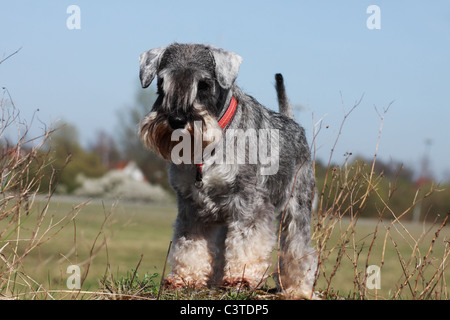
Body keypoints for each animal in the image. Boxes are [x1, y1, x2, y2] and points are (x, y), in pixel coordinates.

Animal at [137, 42, 316, 298]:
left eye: (204, 84)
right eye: (161, 83)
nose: (177, 120)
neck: (206, 149)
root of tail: (293, 123)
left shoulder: (249, 202)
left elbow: (248, 242)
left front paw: (242, 278)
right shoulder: (190, 206)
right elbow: (189, 244)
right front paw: (185, 278)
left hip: (297, 206)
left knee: (298, 249)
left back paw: (298, 288)